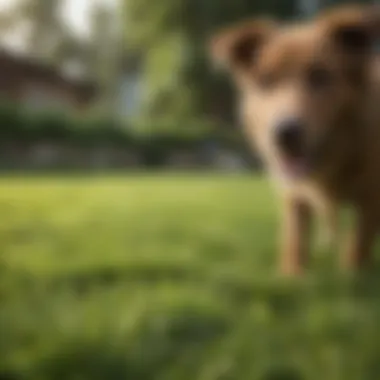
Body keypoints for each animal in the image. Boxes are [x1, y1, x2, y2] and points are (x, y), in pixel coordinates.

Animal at [209, 5, 380, 276]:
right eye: (265, 80)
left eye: (321, 76)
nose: (284, 133)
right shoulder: (293, 196)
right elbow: (295, 242)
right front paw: (293, 277)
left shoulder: (372, 197)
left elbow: (358, 247)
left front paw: (354, 277)